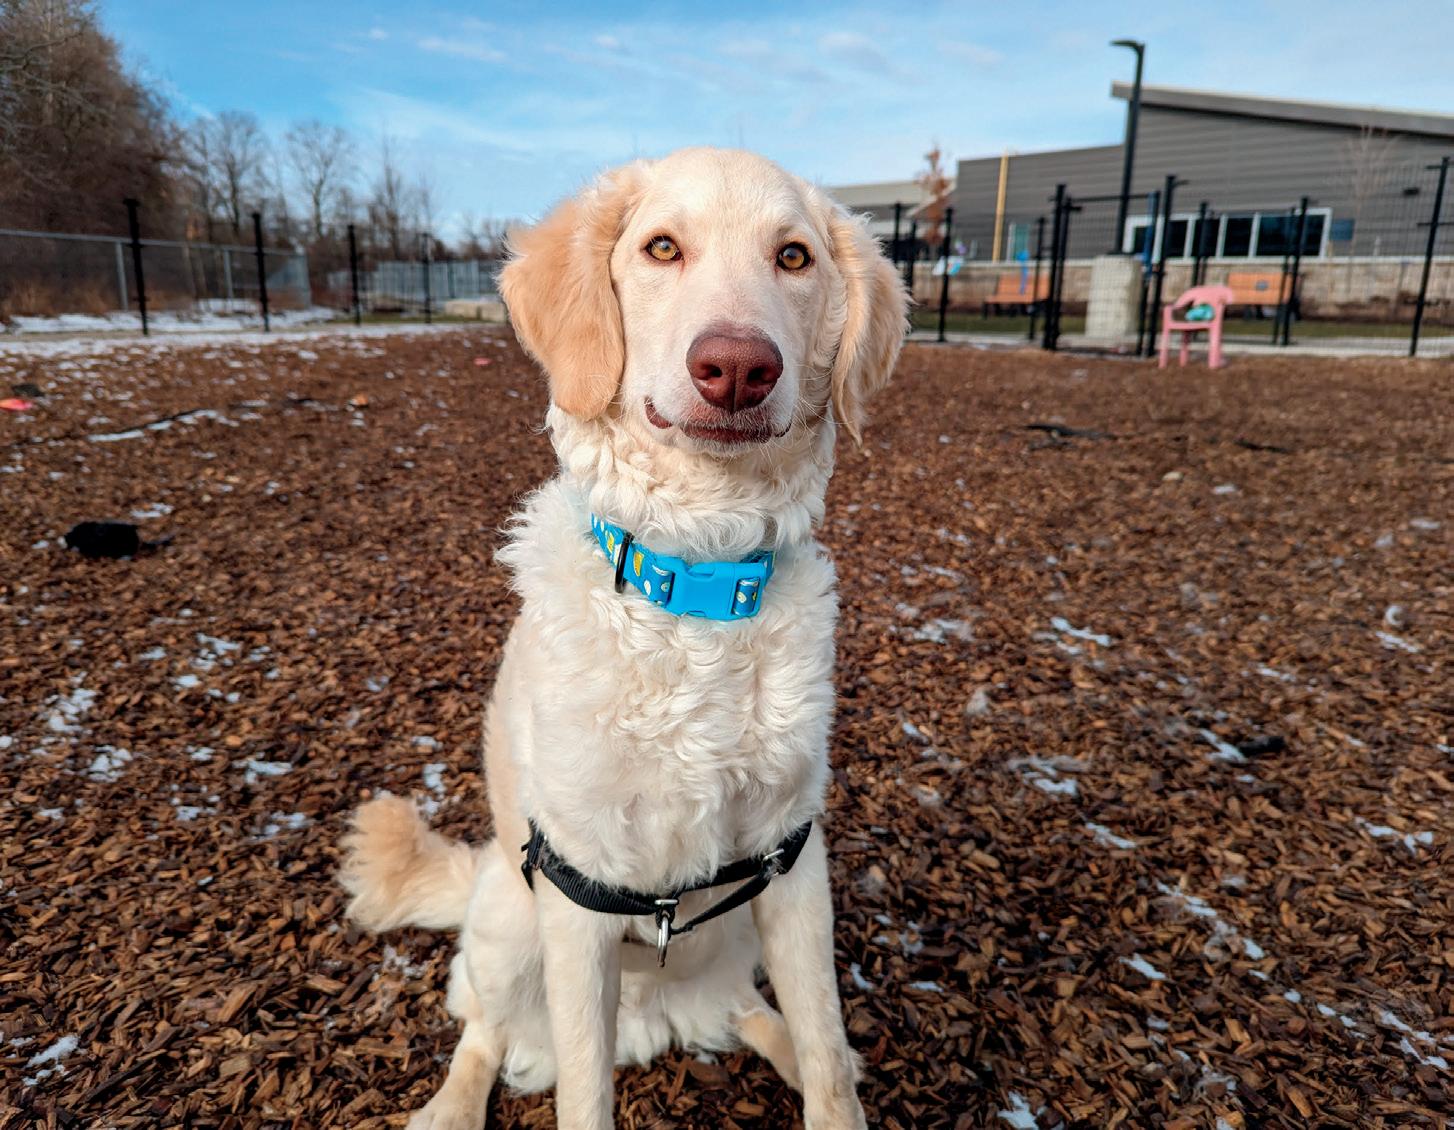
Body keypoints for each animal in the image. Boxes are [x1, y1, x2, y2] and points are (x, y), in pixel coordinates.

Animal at [340, 147, 907, 1130]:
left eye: (794, 257)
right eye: (662, 247)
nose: (736, 367)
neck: (697, 583)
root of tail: (658, 1016)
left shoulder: (795, 863)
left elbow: (831, 1058)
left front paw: (831, 1080)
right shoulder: (580, 889)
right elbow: (583, 1089)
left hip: (735, 937)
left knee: (761, 1015)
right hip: (510, 925)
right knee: (482, 1030)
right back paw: (450, 1107)